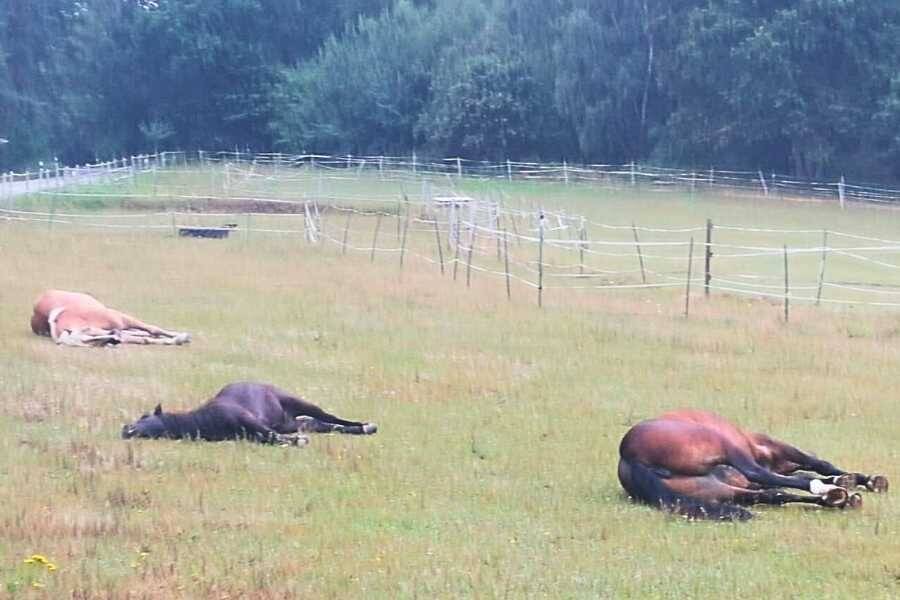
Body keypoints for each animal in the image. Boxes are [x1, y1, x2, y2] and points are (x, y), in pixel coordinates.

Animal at [32, 290, 192, 346]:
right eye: (88, 344)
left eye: (88, 337)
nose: (113, 341)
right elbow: (144, 339)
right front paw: (176, 340)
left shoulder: (121, 318)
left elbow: (153, 329)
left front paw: (182, 336)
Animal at [121, 380, 374, 446]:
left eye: (144, 416)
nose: (125, 429)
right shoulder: (252, 434)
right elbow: (270, 438)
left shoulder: (252, 423)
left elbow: (272, 436)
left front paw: (297, 441)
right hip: (292, 421)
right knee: (325, 425)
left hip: (300, 402)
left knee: (331, 418)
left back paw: (365, 425)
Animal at [620, 408, 884, 520]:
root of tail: (629, 454)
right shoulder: (775, 446)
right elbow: (817, 463)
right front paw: (865, 480)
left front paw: (848, 482)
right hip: (727, 447)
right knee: (758, 474)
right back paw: (828, 492)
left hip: (717, 490)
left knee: (773, 494)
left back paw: (836, 497)